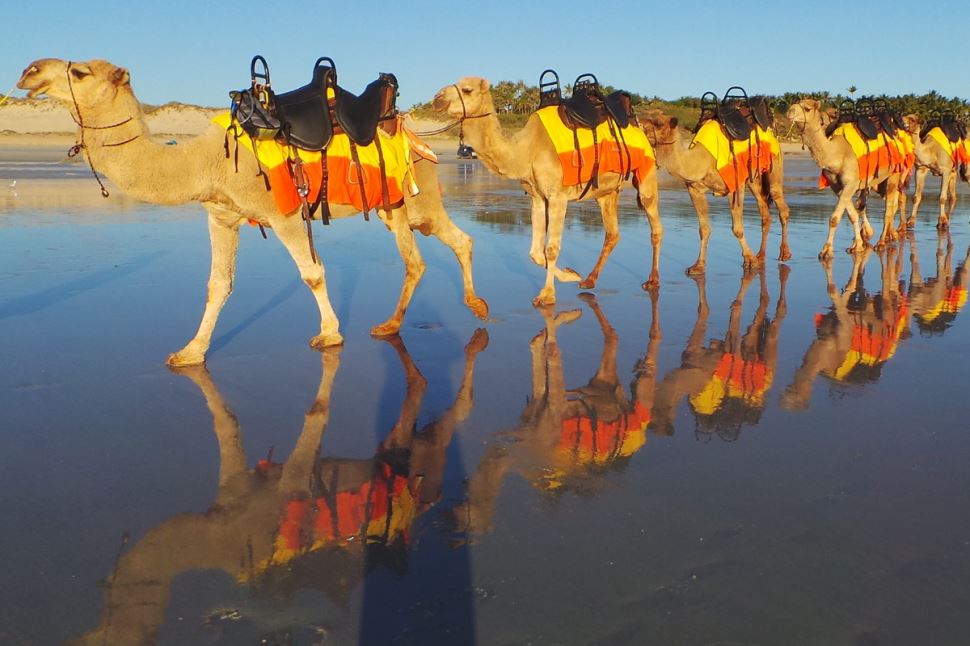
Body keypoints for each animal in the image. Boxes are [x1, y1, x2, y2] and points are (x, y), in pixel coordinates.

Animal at [17, 58, 488, 365]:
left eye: (79, 72)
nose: (29, 71)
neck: (204, 161)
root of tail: (408, 126)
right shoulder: (221, 215)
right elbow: (217, 285)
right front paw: (190, 352)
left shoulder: (283, 214)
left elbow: (312, 273)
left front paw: (329, 334)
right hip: (402, 207)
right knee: (437, 248)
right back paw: (429, 316)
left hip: (413, 197)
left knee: (428, 252)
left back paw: (443, 314)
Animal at [71, 329, 488, 645]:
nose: (77, 635)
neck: (213, 539)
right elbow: (226, 427)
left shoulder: (278, 496)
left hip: (424, 458)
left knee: (450, 419)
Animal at [431, 78, 662, 306]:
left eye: (467, 89)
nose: (437, 99)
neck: (526, 150)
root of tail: (640, 124)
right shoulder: (538, 197)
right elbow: (535, 253)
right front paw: (571, 275)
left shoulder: (557, 196)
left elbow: (551, 249)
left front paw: (547, 295)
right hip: (606, 192)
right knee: (613, 233)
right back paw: (589, 280)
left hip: (646, 169)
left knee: (655, 226)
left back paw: (653, 281)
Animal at [641, 110, 792, 274]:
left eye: (658, 123)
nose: (640, 124)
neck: (702, 161)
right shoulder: (694, 189)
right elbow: (704, 229)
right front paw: (698, 266)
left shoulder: (734, 186)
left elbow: (737, 229)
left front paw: (750, 260)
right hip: (754, 179)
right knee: (764, 210)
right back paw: (761, 256)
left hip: (774, 164)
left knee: (780, 203)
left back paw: (784, 254)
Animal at [787, 99, 902, 258]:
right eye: (795, 104)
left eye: (807, 108)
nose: (789, 111)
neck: (837, 153)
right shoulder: (837, 186)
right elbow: (852, 214)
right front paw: (857, 246)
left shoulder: (850, 183)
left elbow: (834, 218)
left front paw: (826, 250)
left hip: (893, 174)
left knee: (888, 210)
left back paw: (881, 243)